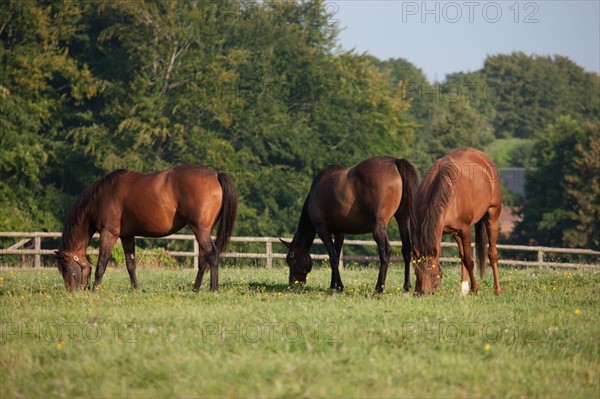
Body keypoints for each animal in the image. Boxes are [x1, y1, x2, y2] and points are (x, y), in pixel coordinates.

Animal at [54, 164, 237, 292]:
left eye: (66, 268)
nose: (73, 292)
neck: (102, 197)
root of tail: (216, 174)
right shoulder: (127, 236)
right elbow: (131, 265)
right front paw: (135, 290)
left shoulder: (109, 234)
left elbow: (101, 265)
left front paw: (95, 291)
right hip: (203, 229)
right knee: (203, 259)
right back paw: (195, 289)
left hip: (199, 228)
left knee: (211, 255)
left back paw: (213, 290)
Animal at [410, 148, 504, 296]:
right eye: (417, 271)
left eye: (432, 272)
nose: (423, 293)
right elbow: (464, 258)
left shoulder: (465, 230)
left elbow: (469, 261)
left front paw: (475, 289)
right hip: (455, 233)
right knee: (462, 255)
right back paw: (463, 289)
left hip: (492, 216)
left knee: (492, 254)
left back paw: (497, 289)